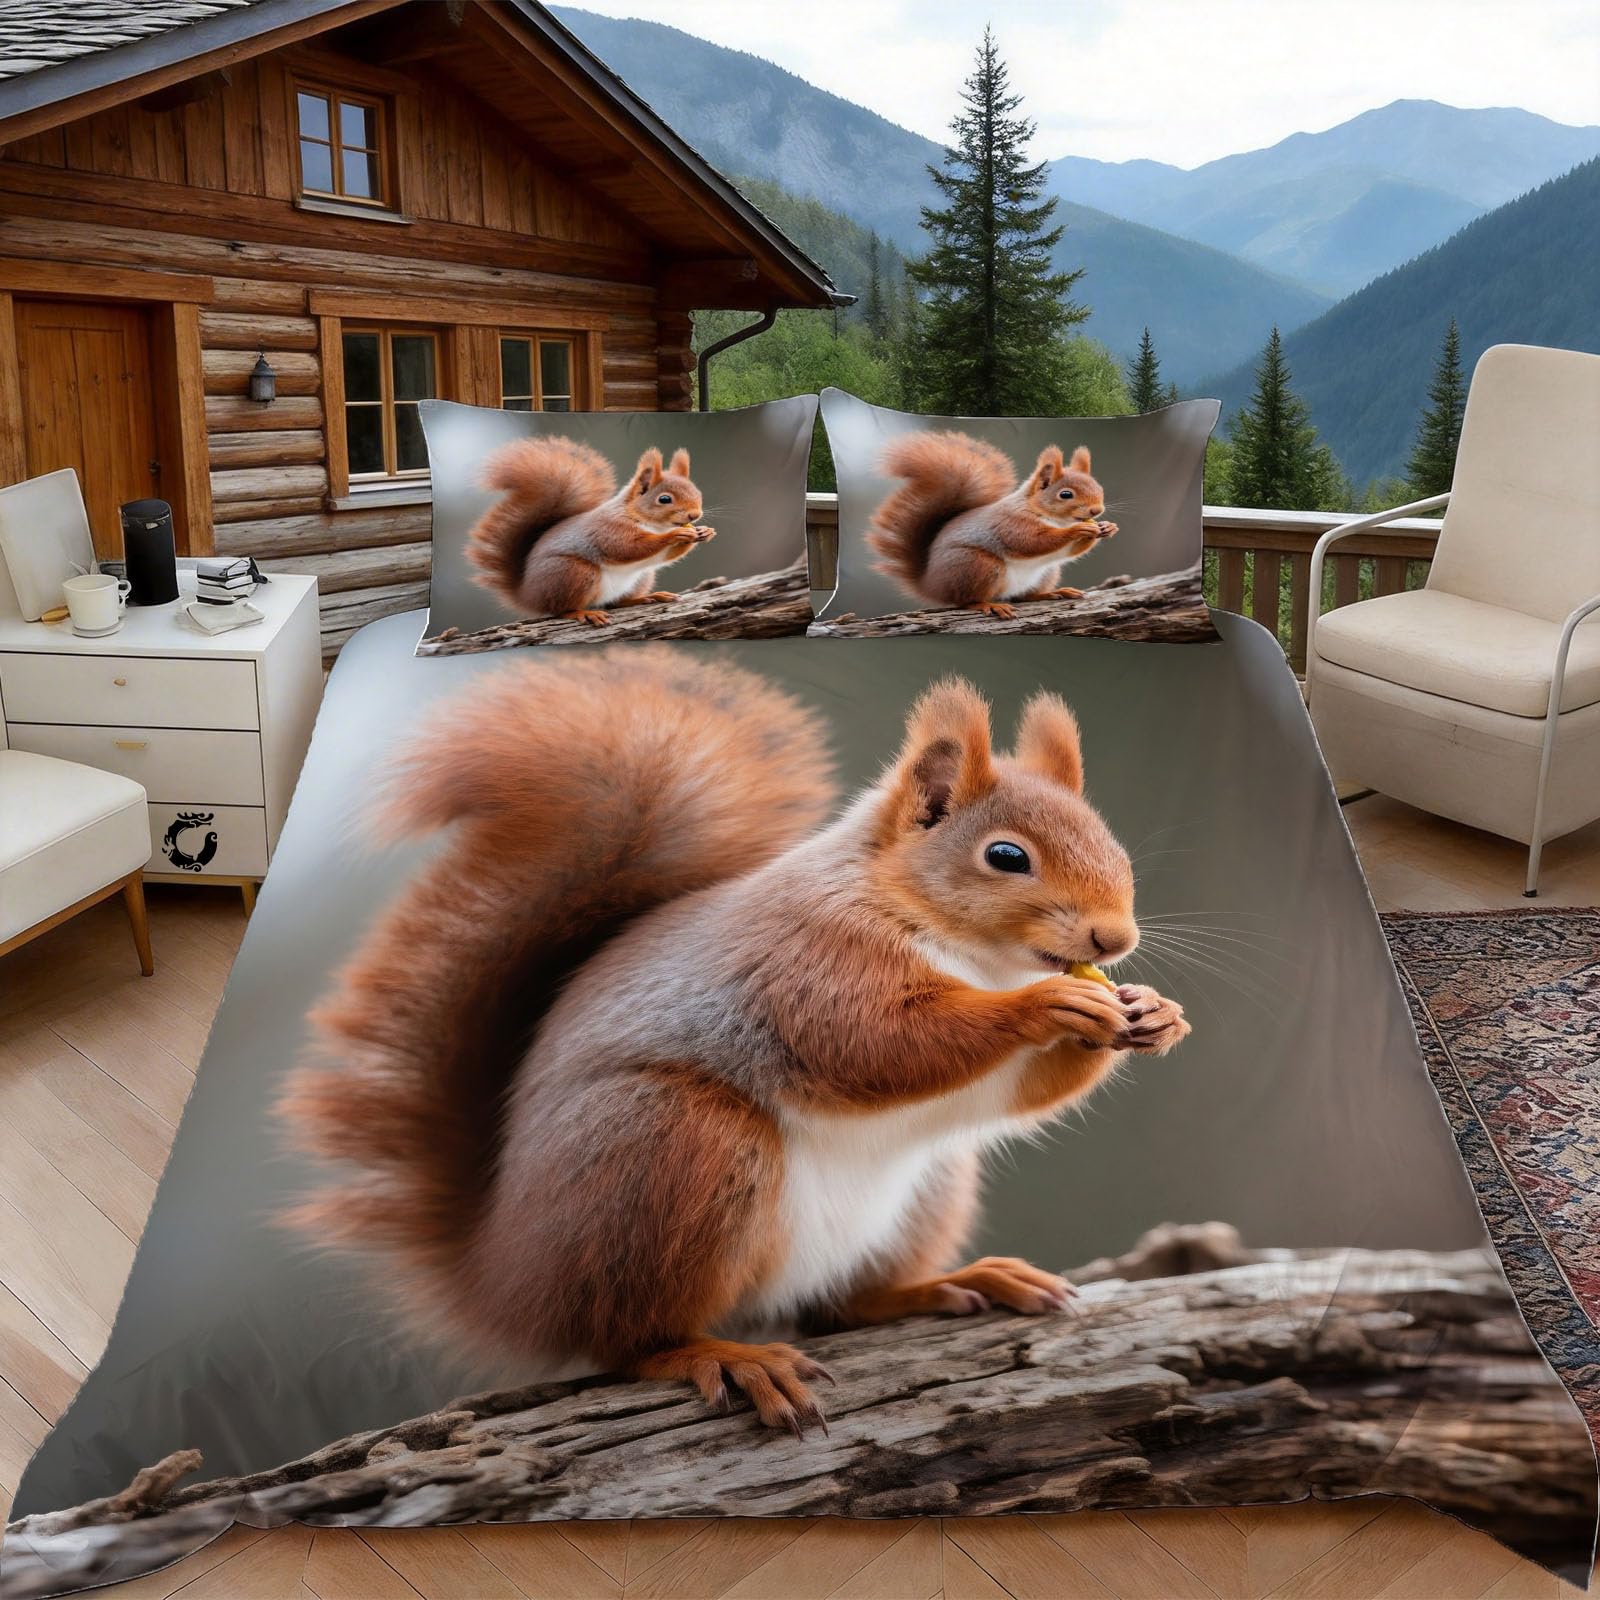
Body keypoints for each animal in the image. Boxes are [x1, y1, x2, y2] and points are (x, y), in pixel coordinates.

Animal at [280, 649, 1189, 1435]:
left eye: (1110, 841)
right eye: (1006, 856)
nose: (1114, 939)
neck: (970, 954)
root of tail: (502, 1279)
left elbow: (1011, 1091)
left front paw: (1156, 1013)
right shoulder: (805, 966)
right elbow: (877, 1044)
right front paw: (1047, 1004)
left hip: (927, 1184)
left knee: (835, 1306)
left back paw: (946, 1284)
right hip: (677, 1146)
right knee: (631, 1340)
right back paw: (722, 1356)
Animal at [465, 437, 716, 627]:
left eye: (698, 492)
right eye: (664, 499)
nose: (694, 515)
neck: (651, 523)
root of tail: (528, 595)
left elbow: (664, 556)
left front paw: (705, 532)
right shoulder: (608, 530)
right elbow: (628, 548)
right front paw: (674, 536)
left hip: (642, 577)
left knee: (615, 602)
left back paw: (647, 597)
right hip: (574, 573)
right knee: (560, 610)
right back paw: (582, 613)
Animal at [867, 431, 1119, 619]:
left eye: (1098, 487)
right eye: (1065, 494)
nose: (1096, 510)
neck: (1053, 518)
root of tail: (930, 584)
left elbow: (1068, 551)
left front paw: (1107, 527)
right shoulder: (1010, 524)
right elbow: (1033, 542)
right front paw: (1078, 529)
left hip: (1046, 572)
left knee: (1021, 596)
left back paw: (1050, 593)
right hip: (978, 566)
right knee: (965, 601)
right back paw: (988, 605)